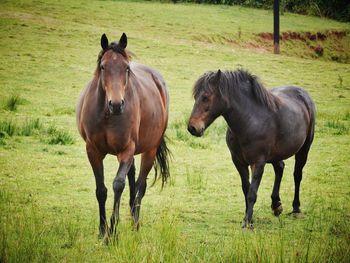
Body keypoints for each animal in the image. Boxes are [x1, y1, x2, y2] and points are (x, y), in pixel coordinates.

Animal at [76, 33, 170, 239]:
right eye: (103, 67)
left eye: (126, 68)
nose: (117, 104)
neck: (107, 115)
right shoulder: (92, 151)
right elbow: (101, 190)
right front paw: (102, 230)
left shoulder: (126, 150)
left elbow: (118, 185)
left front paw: (112, 231)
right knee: (133, 178)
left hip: (150, 150)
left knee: (140, 186)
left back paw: (135, 224)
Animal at [187, 69, 316, 229]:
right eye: (196, 97)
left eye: (205, 97)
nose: (192, 128)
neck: (251, 120)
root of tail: (303, 94)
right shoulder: (238, 162)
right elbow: (246, 189)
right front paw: (250, 218)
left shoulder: (258, 162)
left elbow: (252, 193)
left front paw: (247, 222)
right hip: (275, 155)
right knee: (280, 168)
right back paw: (276, 205)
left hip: (304, 149)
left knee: (297, 175)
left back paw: (296, 209)